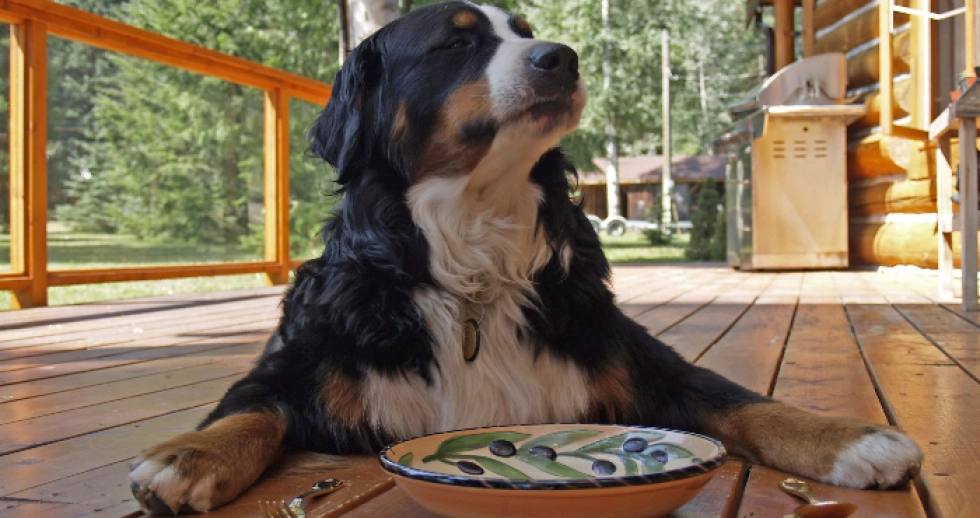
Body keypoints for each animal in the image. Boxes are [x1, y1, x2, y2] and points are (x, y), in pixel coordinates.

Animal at [126, 3, 924, 516]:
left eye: (528, 34)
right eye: (455, 46)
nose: (561, 58)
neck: (473, 259)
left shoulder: (637, 359)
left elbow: (743, 402)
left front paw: (849, 438)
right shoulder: (298, 363)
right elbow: (249, 413)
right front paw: (185, 457)